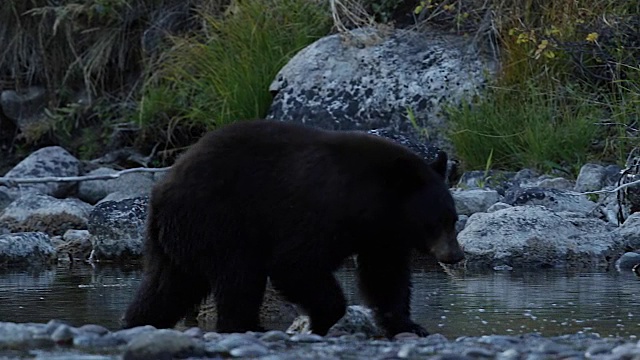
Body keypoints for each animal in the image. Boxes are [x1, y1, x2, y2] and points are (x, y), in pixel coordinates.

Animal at [124, 121, 464, 338]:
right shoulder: (316, 212)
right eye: (435, 221)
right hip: (219, 222)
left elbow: (385, 276)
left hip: (177, 240)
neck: (368, 202)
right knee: (239, 277)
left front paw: (409, 325)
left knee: (166, 286)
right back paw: (247, 325)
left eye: (453, 217)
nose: (456, 255)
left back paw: (139, 322)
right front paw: (322, 319)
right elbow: (296, 264)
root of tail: (160, 191)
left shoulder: (380, 236)